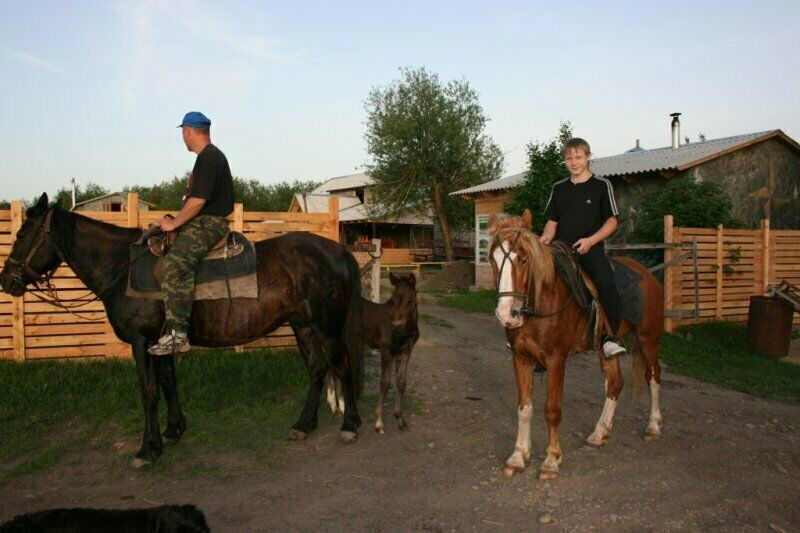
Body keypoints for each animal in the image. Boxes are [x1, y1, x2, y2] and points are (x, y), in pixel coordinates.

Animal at [0, 194, 364, 468]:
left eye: (22, 235)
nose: (6, 280)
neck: (122, 268)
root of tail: (337, 250)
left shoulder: (141, 341)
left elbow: (149, 392)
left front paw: (148, 449)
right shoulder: (161, 342)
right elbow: (168, 382)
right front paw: (174, 430)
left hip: (327, 327)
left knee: (342, 367)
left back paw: (349, 425)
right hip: (303, 326)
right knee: (317, 369)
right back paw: (304, 425)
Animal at [327, 272, 420, 434]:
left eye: (410, 300)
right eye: (393, 300)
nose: (397, 326)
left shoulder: (405, 352)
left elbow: (401, 382)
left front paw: (400, 419)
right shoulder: (386, 350)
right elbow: (385, 383)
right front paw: (379, 422)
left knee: (333, 369)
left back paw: (337, 407)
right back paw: (340, 407)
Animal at [489, 210, 664, 480]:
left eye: (524, 260)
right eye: (493, 260)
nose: (507, 314)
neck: (542, 301)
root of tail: (647, 274)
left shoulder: (556, 361)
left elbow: (552, 410)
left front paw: (551, 461)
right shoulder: (520, 358)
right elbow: (524, 407)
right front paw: (518, 456)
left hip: (648, 338)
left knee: (653, 376)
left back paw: (654, 425)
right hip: (606, 350)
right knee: (615, 384)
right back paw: (599, 433)